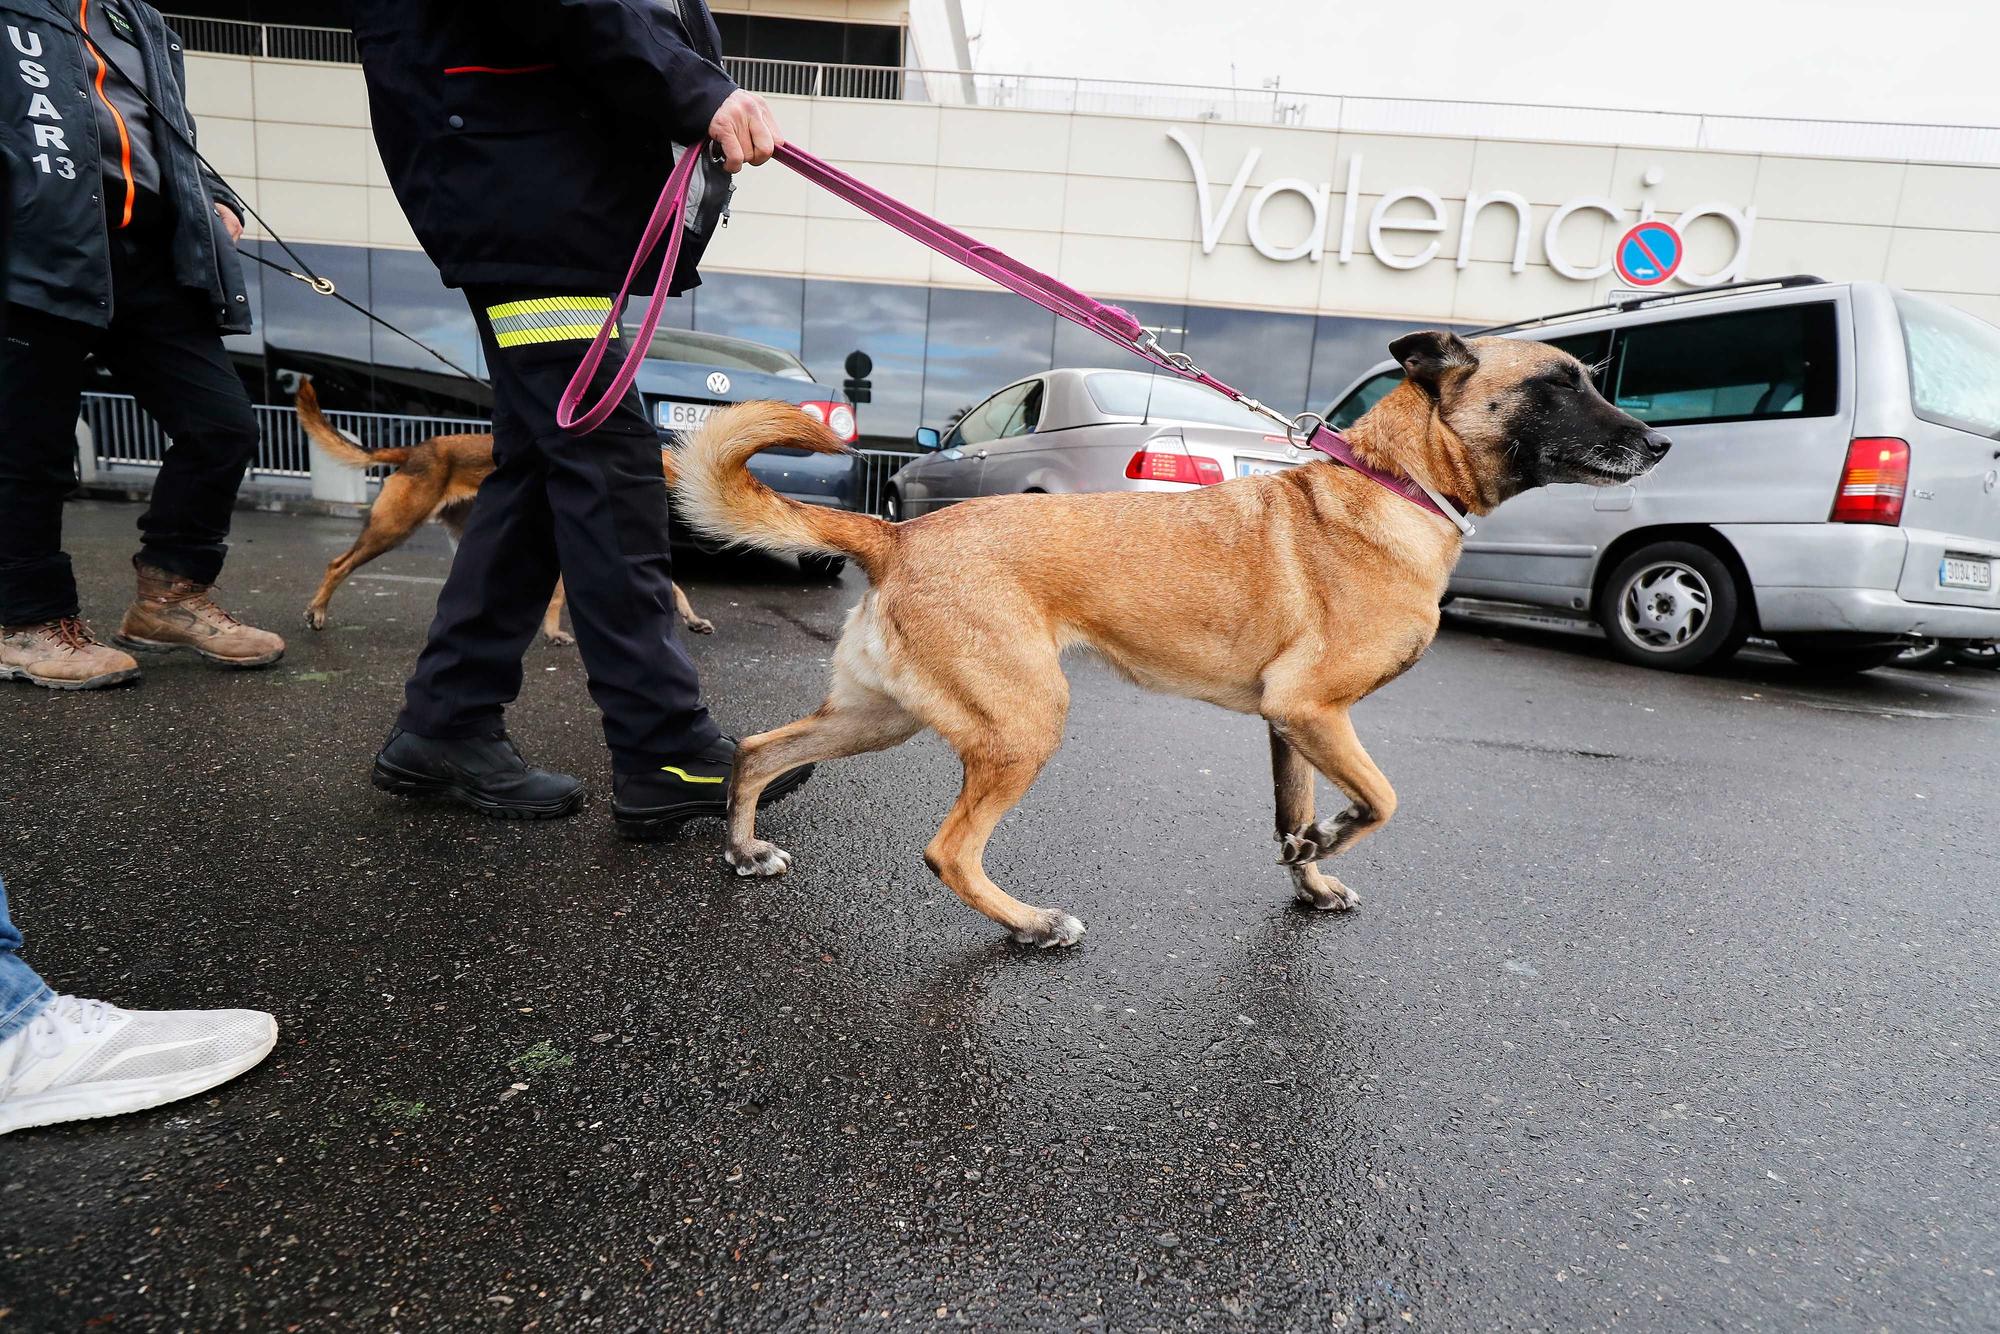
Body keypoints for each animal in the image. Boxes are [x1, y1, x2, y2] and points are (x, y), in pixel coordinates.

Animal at [292, 378, 712, 644]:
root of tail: (416, 449)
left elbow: (674, 588)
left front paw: (693, 619)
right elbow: (559, 598)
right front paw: (554, 633)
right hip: (393, 527)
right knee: (337, 564)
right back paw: (317, 611)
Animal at [672, 328, 1672, 944]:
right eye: (1558, 385)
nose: (1659, 445)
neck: (1398, 481)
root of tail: (900, 535)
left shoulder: (1292, 725)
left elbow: (1294, 815)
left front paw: (1310, 871)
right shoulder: (1317, 710)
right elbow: (1382, 801)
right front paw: (1332, 841)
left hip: (887, 715)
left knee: (759, 749)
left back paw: (745, 848)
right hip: (1022, 725)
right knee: (948, 851)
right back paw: (1032, 925)